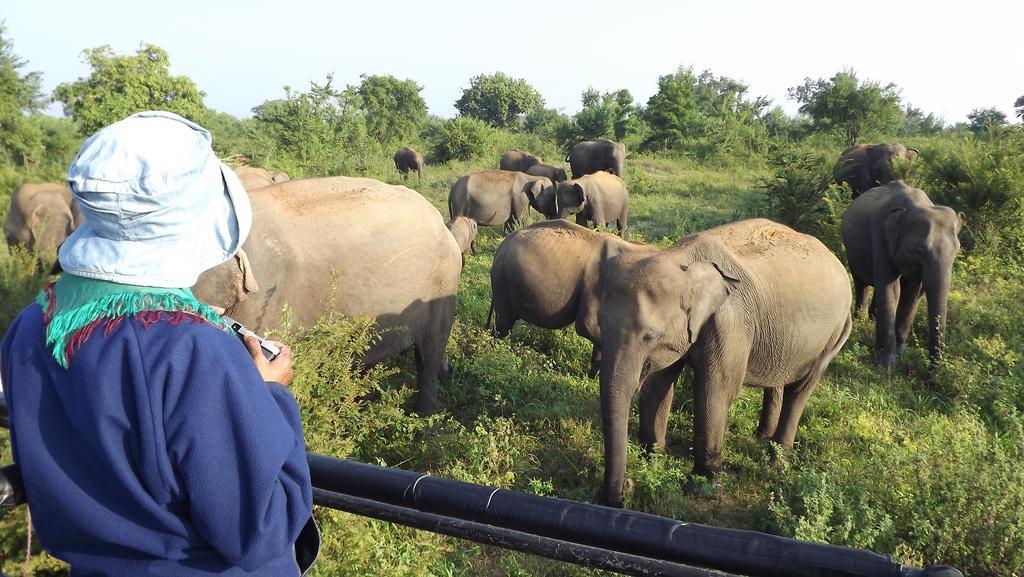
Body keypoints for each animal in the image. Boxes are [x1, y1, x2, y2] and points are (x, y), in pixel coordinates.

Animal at [485, 219, 655, 377]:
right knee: (503, 325)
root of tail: (502, 245)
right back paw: (500, 354)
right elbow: (588, 327)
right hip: (502, 281)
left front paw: (593, 375)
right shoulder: (594, 287)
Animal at [598, 219, 851, 508]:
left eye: (649, 336)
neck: (682, 258)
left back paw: (776, 463)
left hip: (831, 335)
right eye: (600, 326)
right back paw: (762, 438)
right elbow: (657, 386)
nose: (627, 488)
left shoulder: (731, 323)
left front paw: (701, 486)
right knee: (778, 382)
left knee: (799, 390)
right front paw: (652, 462)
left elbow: (716, 391)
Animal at [839, 182, 958, 377]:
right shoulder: (880, 237)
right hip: (852, 251)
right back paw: (860, 320)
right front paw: (886, 365)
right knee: (862, 283)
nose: (929, 379)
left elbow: (911, 294)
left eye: (957, 252)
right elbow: (892, 290)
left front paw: (902, 352)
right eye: (919, 251)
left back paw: (871, 318)